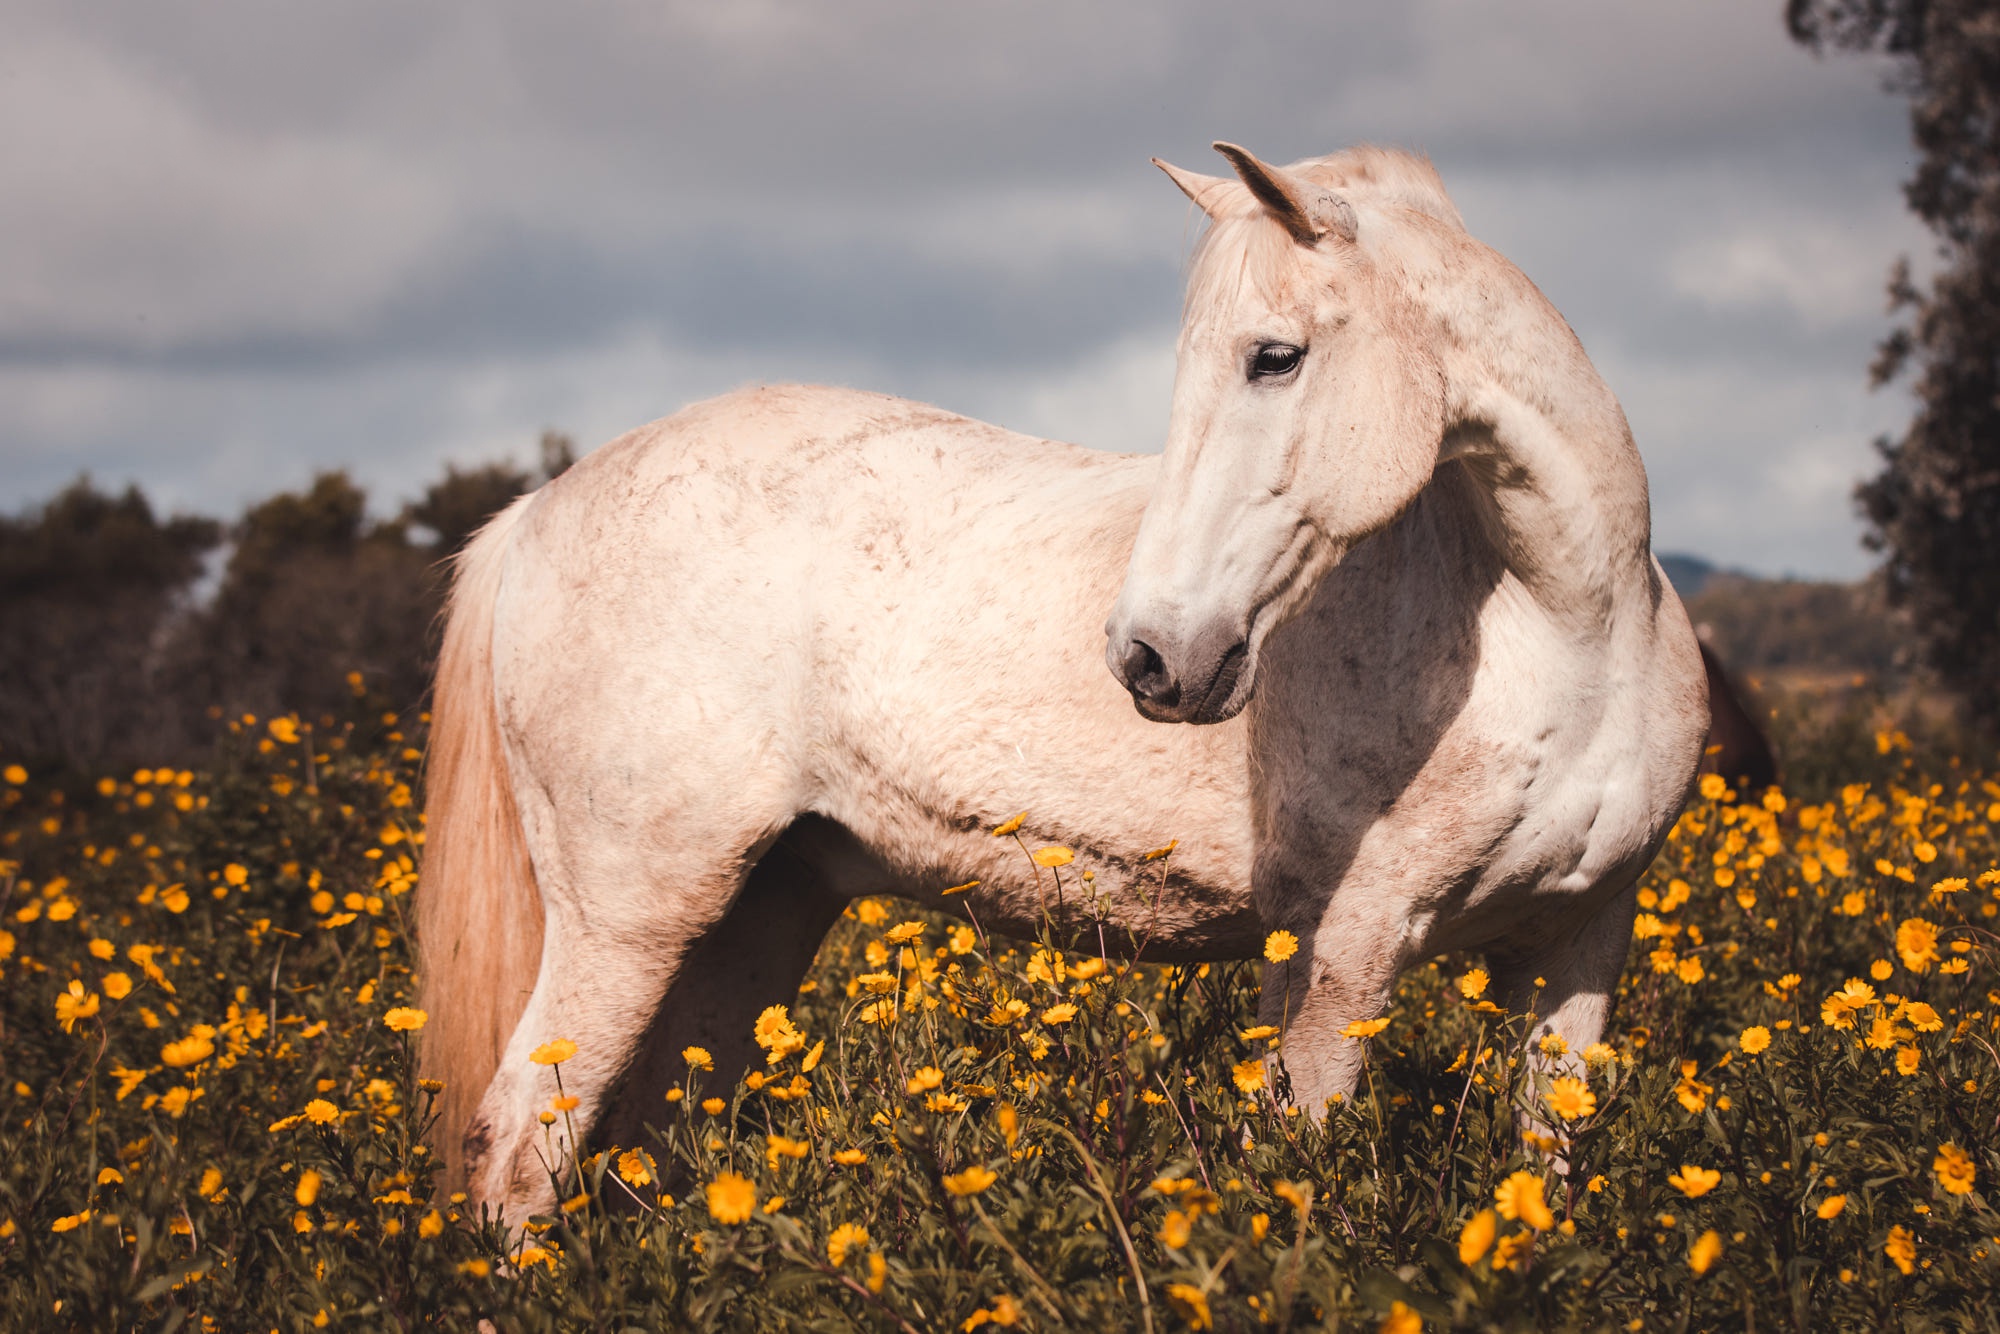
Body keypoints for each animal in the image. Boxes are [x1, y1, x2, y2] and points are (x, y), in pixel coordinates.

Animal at [418, 144, 1704, 1224]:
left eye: (1272, 357)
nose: (1150, 656)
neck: (1566, 629)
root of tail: (532, 514)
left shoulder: (1581, 942)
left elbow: (1542, 1170)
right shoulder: (1341, 953)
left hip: (751, 916)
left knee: (645, 1145)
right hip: (626, 919)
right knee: (518, 1145)